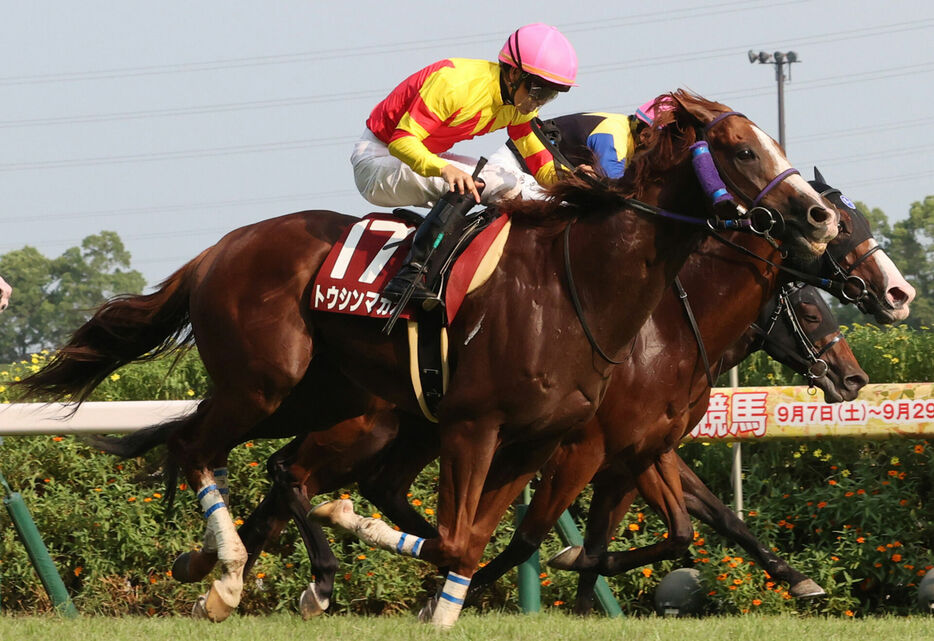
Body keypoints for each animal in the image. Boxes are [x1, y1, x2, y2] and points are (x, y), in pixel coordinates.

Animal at [18, 91, 836, 624]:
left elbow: (478, 541)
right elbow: (465, 538)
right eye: (741, 148)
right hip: (267, 385)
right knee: (199, 448)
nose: (819, 214)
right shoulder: (489, 427)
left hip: (323, 398)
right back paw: (229, 576)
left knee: (258, 461)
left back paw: (224, 565)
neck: (586, 288)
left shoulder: (550, 438)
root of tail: (222, 247)